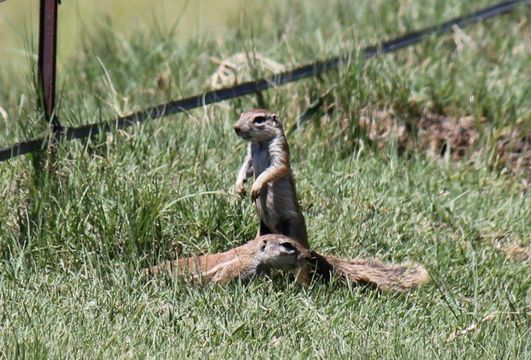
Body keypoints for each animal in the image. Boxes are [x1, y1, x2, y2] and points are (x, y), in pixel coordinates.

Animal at [235, 108, 310, 249]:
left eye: (259, 119)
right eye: (241, 115)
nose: (236, 128)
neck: (260, 143)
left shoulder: (279, 149)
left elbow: (276, 168)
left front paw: (255, 187)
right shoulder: (250, 155)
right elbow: (246, 167)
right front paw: (239, 186)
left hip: (292, 225)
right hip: (263, 226)